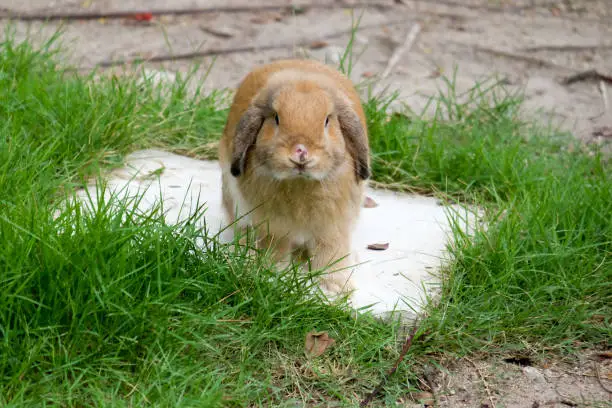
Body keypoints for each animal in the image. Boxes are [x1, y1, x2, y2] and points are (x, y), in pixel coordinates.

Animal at [218, 59, 370, 294]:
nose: (301, 152)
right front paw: (271, 271)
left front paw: (335, 288)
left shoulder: (333, 226)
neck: (299, 183)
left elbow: (331, 251)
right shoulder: (273, 226)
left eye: (327, 121)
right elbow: (275, 246)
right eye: (276, 118)